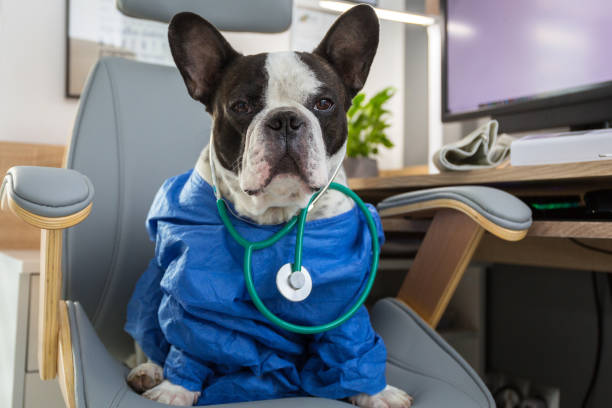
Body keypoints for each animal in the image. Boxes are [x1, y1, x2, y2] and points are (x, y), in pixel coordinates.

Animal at [125, 4, 412, 406]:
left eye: (324, 104)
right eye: (241, 106)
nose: (286, 119)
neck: (277, 215)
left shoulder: (344, 298)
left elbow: (352, 344)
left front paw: (375, 391)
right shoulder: (195, 293)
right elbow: (191, 340)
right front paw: (175, 388)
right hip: (151, 285)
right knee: (147, 338)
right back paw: (149, 371)